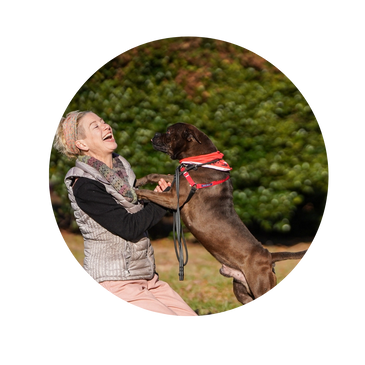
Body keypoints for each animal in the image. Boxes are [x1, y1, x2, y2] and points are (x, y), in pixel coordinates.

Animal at [135, 123, 308, 308]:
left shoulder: (173, 198)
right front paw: (138, 181)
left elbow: (148, 193)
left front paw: (133, 191)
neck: (199, 162)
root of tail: (268, 256)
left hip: (261, 287)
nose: (154, 134)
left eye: (168, 132)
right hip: (242, 290)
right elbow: (157, 175)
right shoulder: (175, 182)